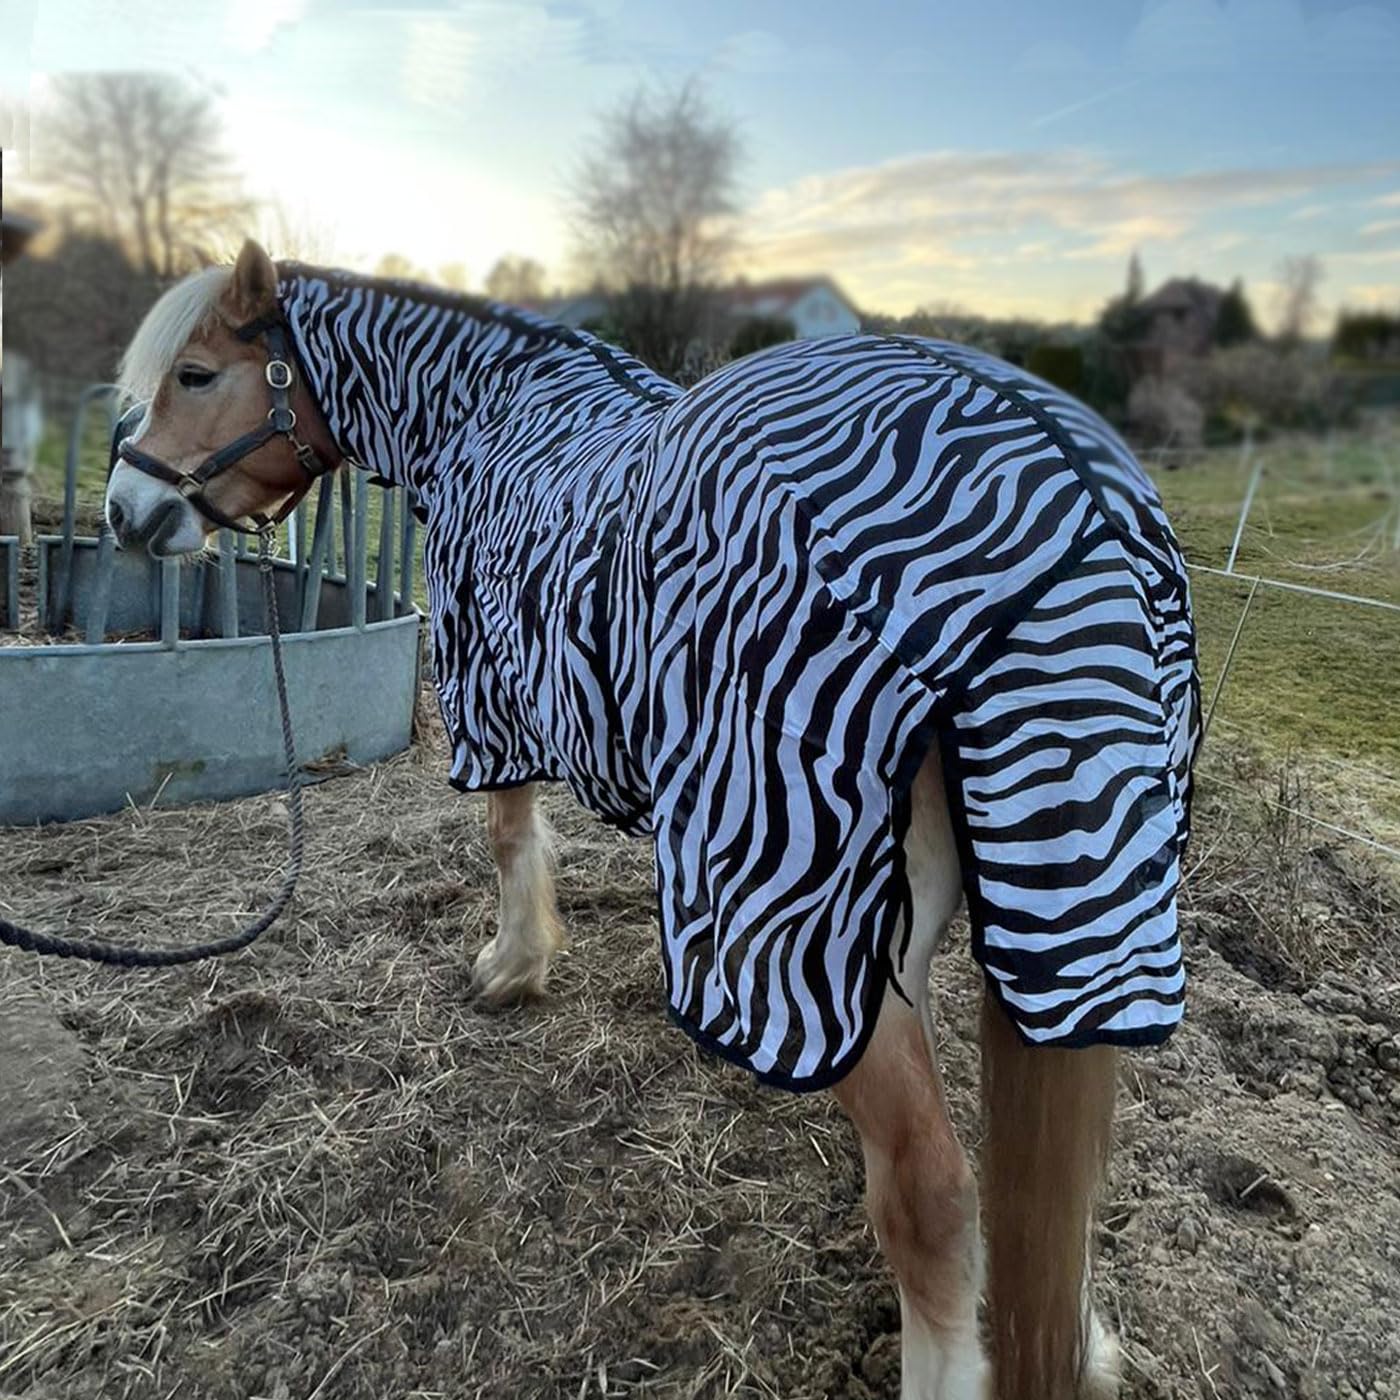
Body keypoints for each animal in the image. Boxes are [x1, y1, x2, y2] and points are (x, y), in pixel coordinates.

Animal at [106, 238, 1200, 1400]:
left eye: (194, 375)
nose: (125, 510)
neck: (490, 408)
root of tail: (1076, 514)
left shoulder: (491, 694)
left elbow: (508, 836)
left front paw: (513, 966)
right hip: (1064, 927)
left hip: (821, 918)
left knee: (934, 1196)